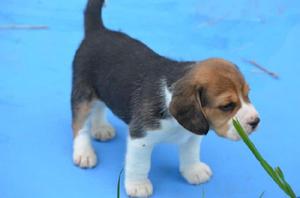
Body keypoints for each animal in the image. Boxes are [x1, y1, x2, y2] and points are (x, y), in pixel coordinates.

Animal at [71, 0, 260, 197]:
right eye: (227, 106)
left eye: (247, 94)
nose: (256, 121)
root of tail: (98, 30)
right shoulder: (140, 138)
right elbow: (140, 164)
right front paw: (138, 185)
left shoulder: (193, 134)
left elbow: (191, 154)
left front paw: (194, 171)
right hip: (83, 94)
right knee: (79, 124)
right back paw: (84, 152)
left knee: (99, 107)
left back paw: (101, 128)